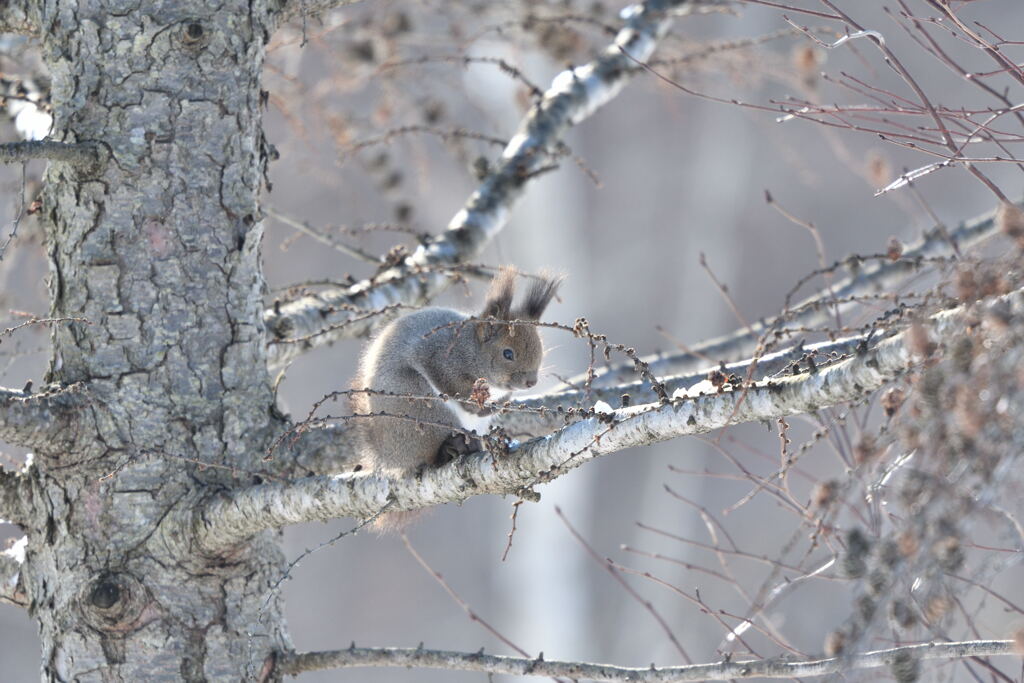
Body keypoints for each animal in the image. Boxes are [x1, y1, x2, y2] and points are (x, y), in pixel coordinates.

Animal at [352, 266, 561, 528]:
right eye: (508, 353)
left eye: (540, 348)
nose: (531, 382)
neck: (470, 348)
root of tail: (390, 457)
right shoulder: (440, 358)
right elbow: (452, 385)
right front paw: (475, 407)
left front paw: (496, 406)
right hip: (421, 409)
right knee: (432, 454)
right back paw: (455, 447)